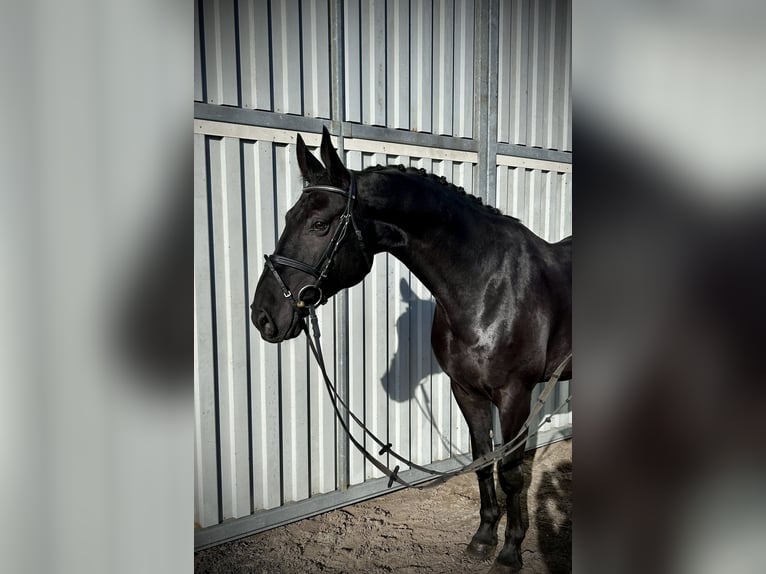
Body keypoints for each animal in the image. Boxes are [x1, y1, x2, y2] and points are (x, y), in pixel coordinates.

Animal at [250, 128, 568, 572]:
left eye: (319, 224)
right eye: (286, 219)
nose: (263, 315)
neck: (490, 286)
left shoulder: (514, 396)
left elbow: (510, 471)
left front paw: (509, 552)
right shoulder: (465, 391)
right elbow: (482, 460)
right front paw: (484, 538)